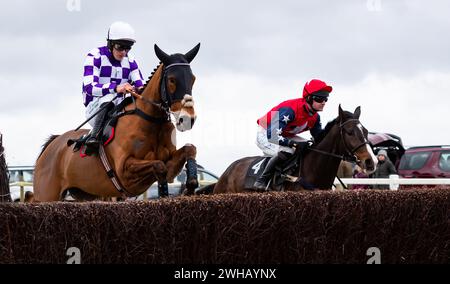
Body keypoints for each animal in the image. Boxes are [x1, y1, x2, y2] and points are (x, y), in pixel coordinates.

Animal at [34, 43, 203, 201]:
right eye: (171, 80)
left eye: (193, 79)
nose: (187, 119)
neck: (150, 121)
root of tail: (52, 144)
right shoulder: (124, 171)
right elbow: (159, 166)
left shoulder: (169, 164)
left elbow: (189, 149)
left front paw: (190, 185)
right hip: (46, 196)